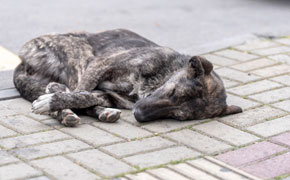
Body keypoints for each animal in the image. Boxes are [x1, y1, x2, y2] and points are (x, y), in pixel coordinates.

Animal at [13, 28, 242, 126]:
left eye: (177, 116)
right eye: (172, 91)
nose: (138, 114)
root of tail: (22, 60)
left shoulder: (110, 95)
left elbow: (86, 97)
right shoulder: (99, 65)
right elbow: (80, 93)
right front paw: (56, 105)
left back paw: (100, 112)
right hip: (79, 54)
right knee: (64, 86)